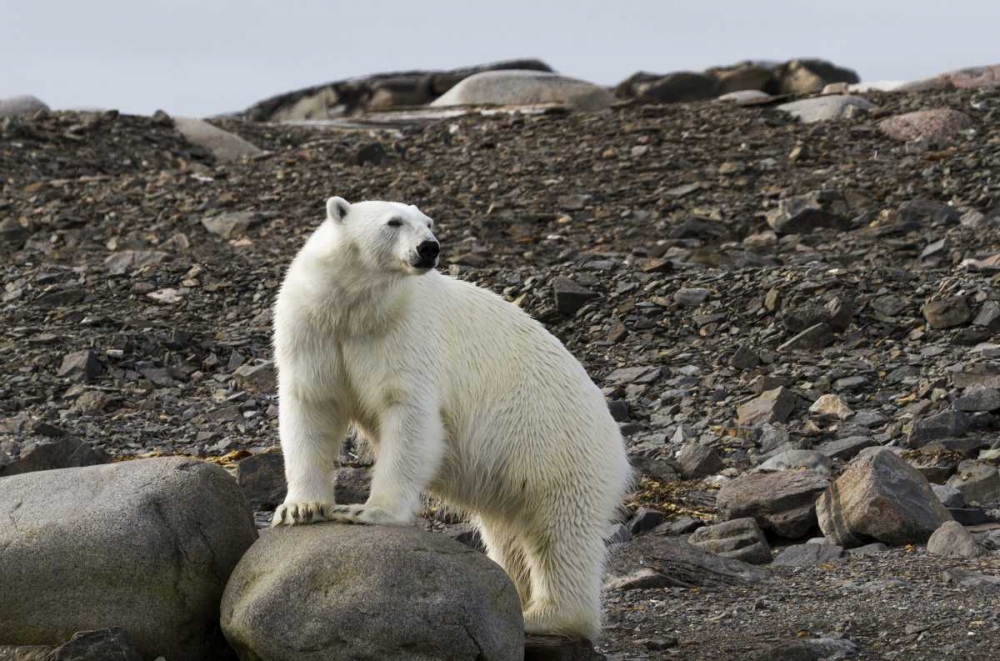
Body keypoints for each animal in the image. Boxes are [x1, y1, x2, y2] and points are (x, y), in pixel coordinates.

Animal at [271, 196, 632, 640]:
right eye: (394, 222)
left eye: (428, 222)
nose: (430, 247)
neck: (356, 307)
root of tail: (617, 442)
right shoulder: (313, 326)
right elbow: (311, 405)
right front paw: (300, 509)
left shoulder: (405, 334)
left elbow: (409, 415)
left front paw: (365, 512)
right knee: (510, 534)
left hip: (561, 449)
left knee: (561, 531)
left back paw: (545, 616)